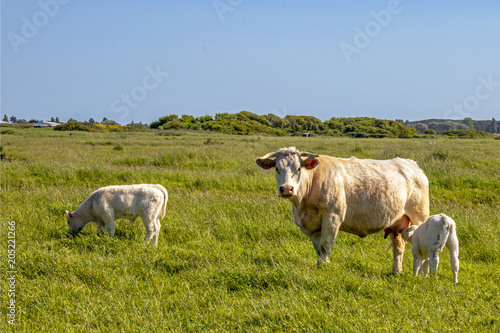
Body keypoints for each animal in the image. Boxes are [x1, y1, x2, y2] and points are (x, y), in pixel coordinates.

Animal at [258, 146, 430, 272]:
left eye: (298, 169)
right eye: (277, 169)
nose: (286, 189)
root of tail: (411, 164)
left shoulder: (333, 216)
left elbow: (326, 245)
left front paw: (325, 270)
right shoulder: (312, 225)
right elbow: (318, 248)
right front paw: (319, 268)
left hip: (419, 216)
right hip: (397, 223)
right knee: (398, 247)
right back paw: (396, 272)